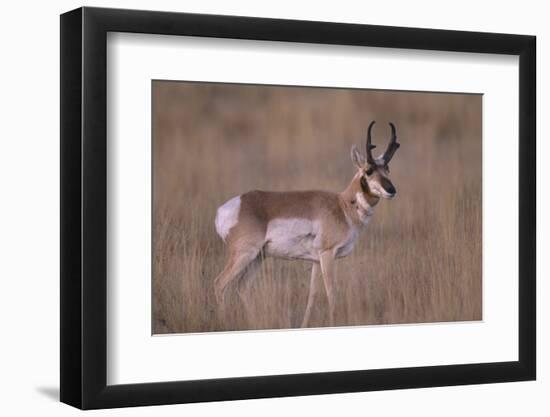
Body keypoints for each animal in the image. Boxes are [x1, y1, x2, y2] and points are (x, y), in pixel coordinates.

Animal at [215, 119, 402, 324]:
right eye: (369, 170)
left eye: (387, 169)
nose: (391, 190)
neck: (342, 205)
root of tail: (227, 208)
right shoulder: (327, 254)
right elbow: (331, 293)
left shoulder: (315, 261)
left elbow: (312, 295)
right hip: (244, 254)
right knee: (220, 284)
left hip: (258, 257)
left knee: (242, 287)